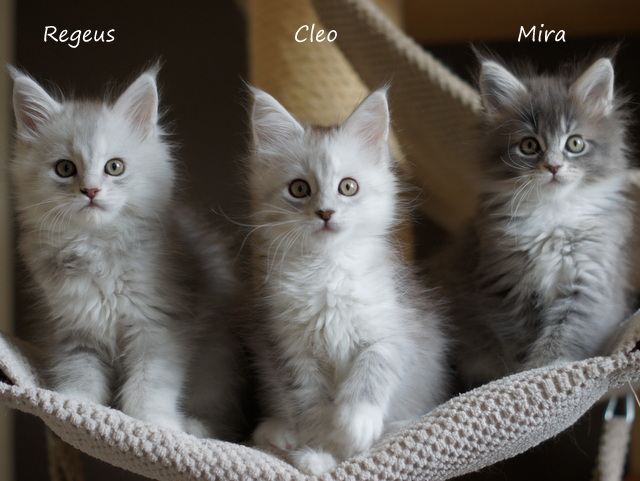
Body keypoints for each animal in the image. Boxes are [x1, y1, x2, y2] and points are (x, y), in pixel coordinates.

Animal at [10, 66, 246, 439]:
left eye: (114, 167)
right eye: (65, 168)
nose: (90, 191)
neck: (97, 247)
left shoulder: (160, 327)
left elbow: (150, 385)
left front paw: (153, 424)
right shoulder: (74, 329)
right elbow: (80, 375)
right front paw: (73, 408)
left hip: (218, 362)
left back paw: (195, 428)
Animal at [246, 87, 449, 475]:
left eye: (348, 187)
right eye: (299, 189)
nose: (325, 212)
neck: (328, 272)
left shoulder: (396, 332)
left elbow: (373, 367)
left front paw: (355, 425)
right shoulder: (291, 353)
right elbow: (311, 408)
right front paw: (320, 452)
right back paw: (279, 433)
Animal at [434, 53, 634, 387]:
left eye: (575, 143)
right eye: (529, 146)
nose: (553, 166)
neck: (552, 214)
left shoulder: (590, 281)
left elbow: (565, 334)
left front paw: (547, 369)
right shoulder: (505, 282)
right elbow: (521, 340)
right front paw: (525, 374)